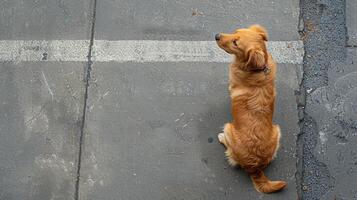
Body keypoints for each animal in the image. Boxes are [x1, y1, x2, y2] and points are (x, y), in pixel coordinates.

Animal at [214, 25, 286, 194]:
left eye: (235, 43)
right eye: (235, 32)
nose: (216, 36)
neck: (257, 69)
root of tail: (255, 167)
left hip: (228, 127)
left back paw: (221, 137)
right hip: (277, 131)